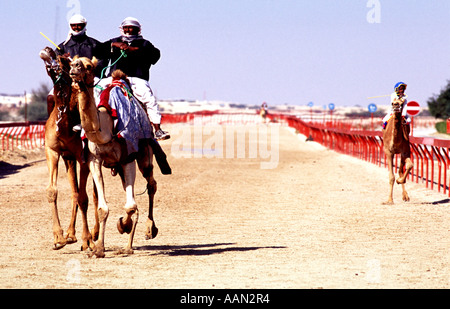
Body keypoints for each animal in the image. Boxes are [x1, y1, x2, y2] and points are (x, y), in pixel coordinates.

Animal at [39, 47, 98, 250]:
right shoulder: (53, 151)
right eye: (69, 61)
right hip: (68, 159)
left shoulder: (83, 156)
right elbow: (52, 191)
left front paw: (87, 240)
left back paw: (94, 234)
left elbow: (84, 197)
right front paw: (59, 238)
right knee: (75, 191)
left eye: (62, 59)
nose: (48, 49)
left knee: (92, 194)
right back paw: (71, 234)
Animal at [69, 56, 163, 258]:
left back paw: (149, 230)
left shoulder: (128, 157)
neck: (107, 126)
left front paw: (124, 230)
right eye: (72, 63)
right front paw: (98, 249)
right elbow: (103, 208)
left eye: (89, 66)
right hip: (118, 167)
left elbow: (130, 206)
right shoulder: (94, 160)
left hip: (144, 155)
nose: (75, 68)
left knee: (151, 184)